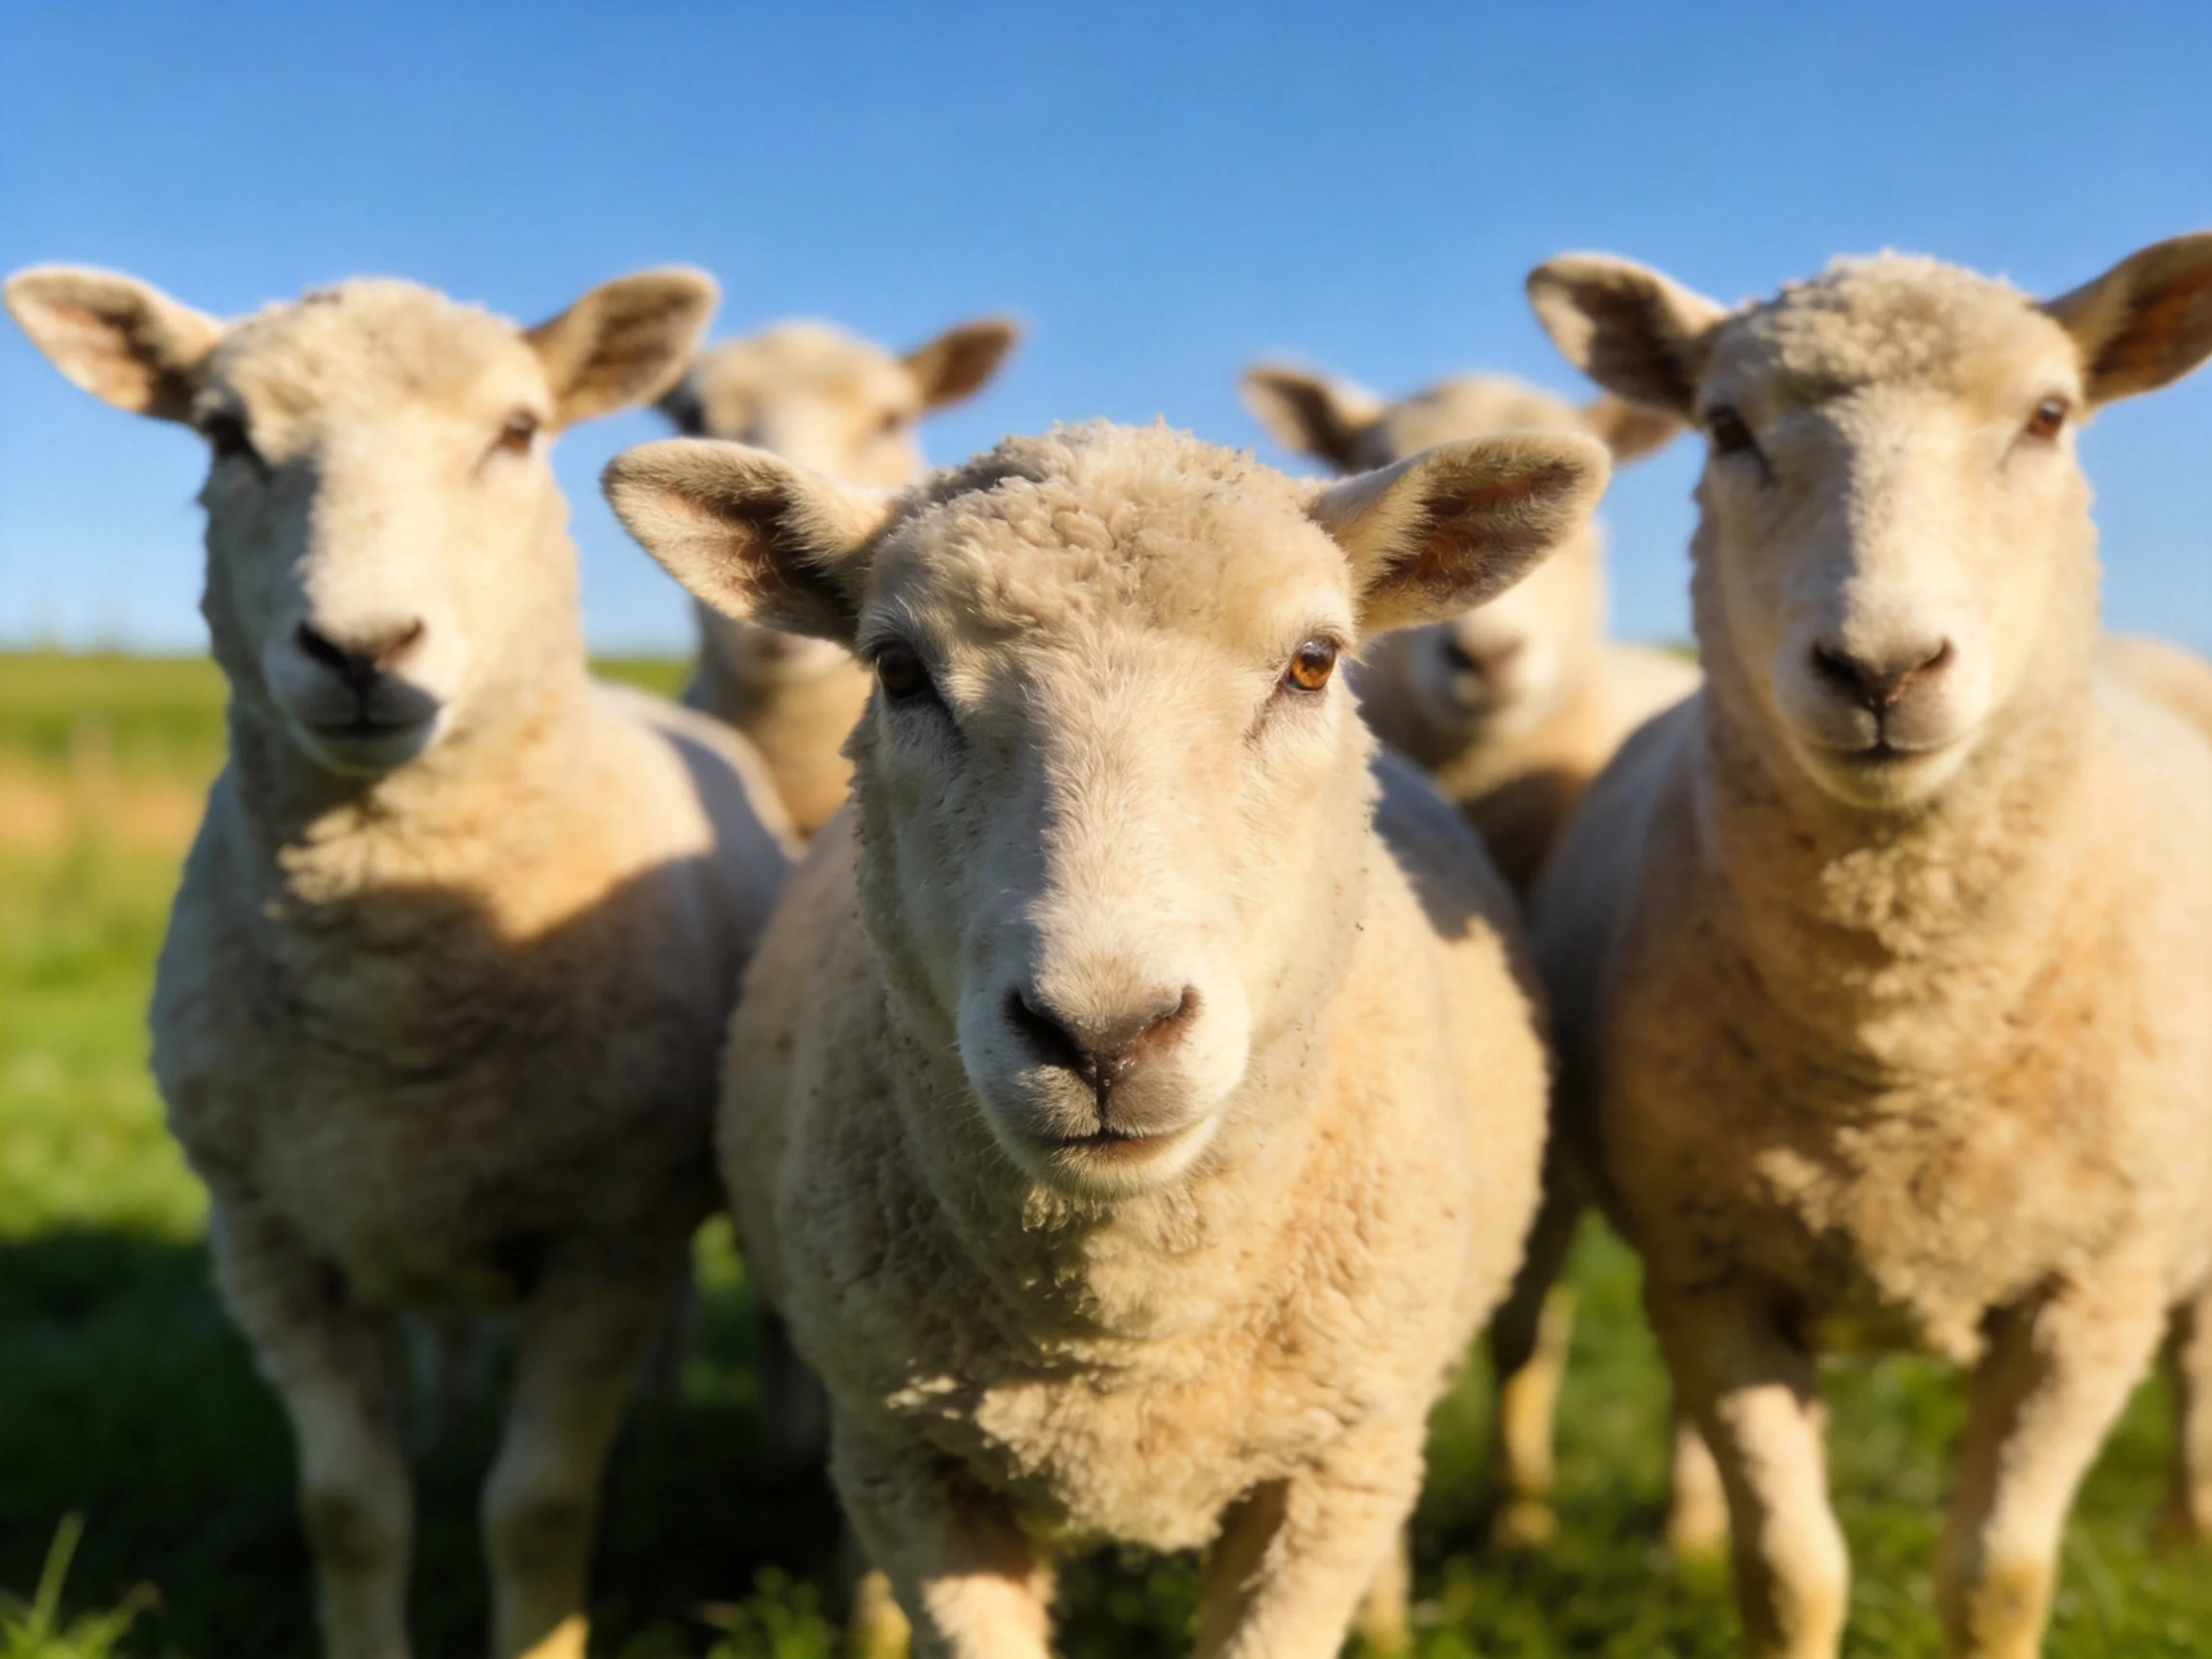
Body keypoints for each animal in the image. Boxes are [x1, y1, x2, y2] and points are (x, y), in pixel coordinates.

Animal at [4, 265, 795, 1659]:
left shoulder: (611, 1233)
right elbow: (350, 1508)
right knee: (446, 1327)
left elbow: (536, 1508)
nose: (362, 648)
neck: (389, 1002)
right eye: (224, 435)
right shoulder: (268, 1239)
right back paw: (446, 1417)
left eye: (521, 431)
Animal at [602, 418, 1609, 1658]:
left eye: (1313, 662)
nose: (1105, 1033)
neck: (1123, 1333)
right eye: (898, 672)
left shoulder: (1330, 1469)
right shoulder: (915, 1460)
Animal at [1518, 233, 2212, 1659]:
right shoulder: (1713, 1273)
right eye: (1725, 427)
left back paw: (2187, 1531)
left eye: (2049, 416)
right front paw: (1737, 1558)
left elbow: (1996, 1575)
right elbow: (1792, 1573)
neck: (1902, 1044)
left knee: (2201, 1360)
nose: (1881, 671)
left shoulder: (2090, 1293)